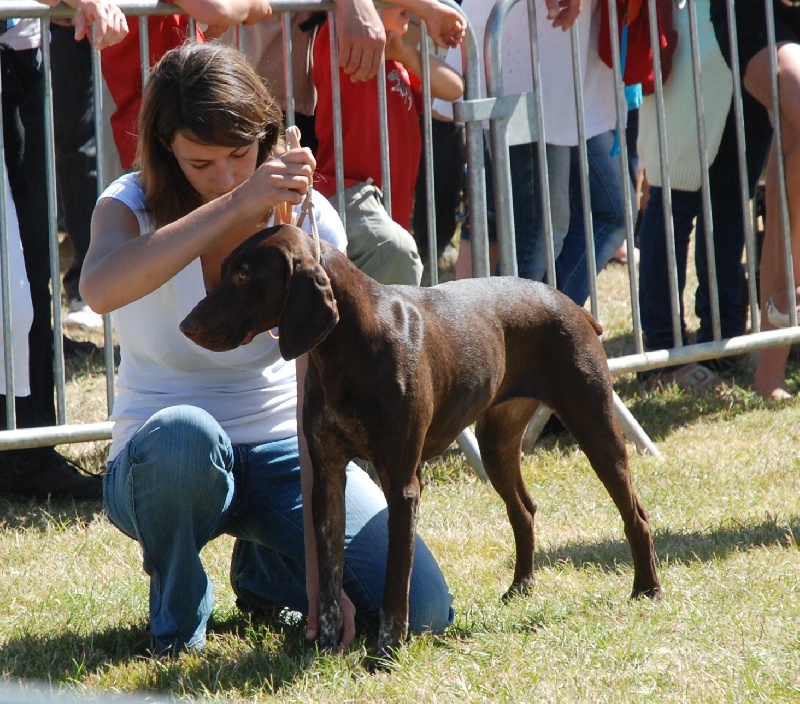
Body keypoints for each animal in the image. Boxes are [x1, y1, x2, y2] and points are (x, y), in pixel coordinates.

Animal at [181, 224, 664, 660]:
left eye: (244, 275)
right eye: (225, 269)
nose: (187, 326)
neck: (348, 349)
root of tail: (572, 305)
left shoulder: (402, 485)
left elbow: (397, 582)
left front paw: (387, 651)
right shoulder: (328, 478)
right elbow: (330, 578)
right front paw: (327, 644)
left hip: (595, 426)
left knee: (636, 514)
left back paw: (647, 589)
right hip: (496, 445)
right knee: (524, 510)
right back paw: (521, 587)